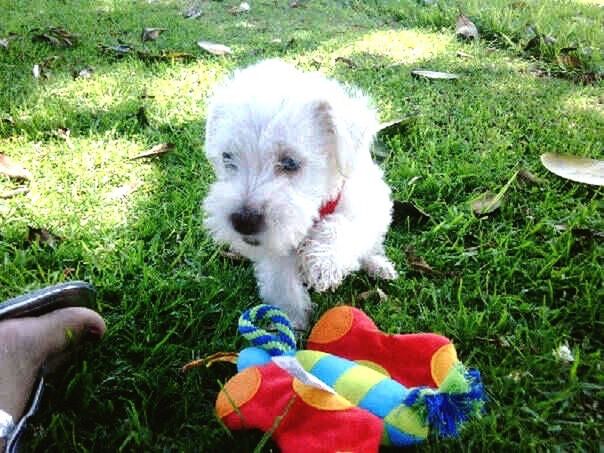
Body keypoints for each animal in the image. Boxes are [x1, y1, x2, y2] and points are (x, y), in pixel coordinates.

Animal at [204, 60, 396, 328]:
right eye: (227, 157)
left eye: (290, 163)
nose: (243, 222)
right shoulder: (276, 251)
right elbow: (283, 286)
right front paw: (294, 325)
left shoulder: (364, 204)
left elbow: (346, 225)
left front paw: (325, 260)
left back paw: (379, 265)